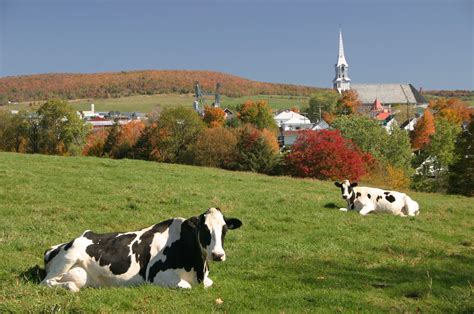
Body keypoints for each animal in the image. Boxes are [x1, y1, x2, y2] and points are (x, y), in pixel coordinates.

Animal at [39, 209, 243, 292]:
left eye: (225, 229)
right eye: (204, 229)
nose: (218, 255)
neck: (197, 267)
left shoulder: (206, 279)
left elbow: (210, 283)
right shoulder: (155, 276)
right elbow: (186, 286)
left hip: (81, 274)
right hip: (69, 256)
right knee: (46, 283)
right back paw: (70, 287)